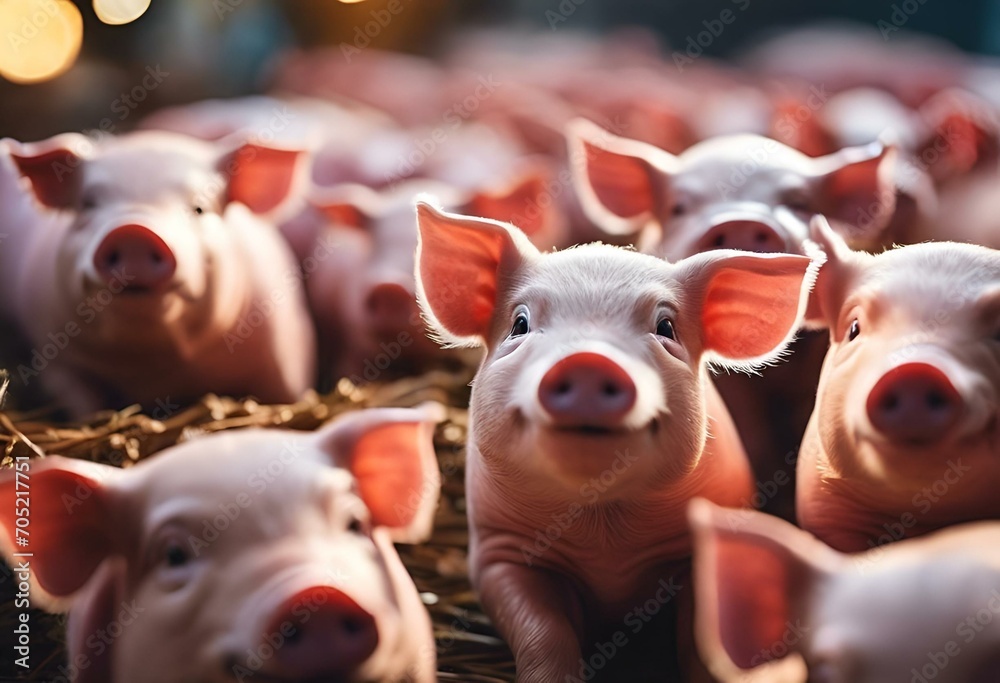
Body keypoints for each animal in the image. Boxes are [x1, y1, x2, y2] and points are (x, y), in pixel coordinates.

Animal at [0, 131, 316, 417]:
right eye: (88, 205)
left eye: (199, 208)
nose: (134, 232)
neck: (153, 368)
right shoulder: (58, 361)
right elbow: (83, 408)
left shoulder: (284, 351)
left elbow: (287, 395)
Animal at [413, 200, 820, 680]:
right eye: (520, 323)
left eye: (666, 327)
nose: (589, 360)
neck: (604, 532)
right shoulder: (499, 554)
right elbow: (541, 631)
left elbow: (699, 638)